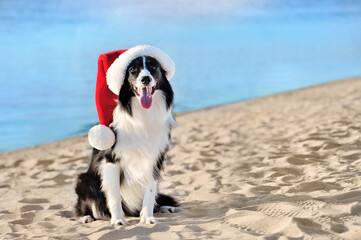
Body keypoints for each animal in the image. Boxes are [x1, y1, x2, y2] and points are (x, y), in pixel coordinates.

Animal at [75, 49, 176, 226]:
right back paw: (86, 217)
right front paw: (118, 220)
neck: (143, 116)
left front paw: (147, 217)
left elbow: (150, 191)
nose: (145, 79)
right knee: (87, 205)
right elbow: (114, 194)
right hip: (85, 180)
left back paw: (165, 207)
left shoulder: (155, 157)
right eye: (133, 69)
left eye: (153, 66)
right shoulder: (111, 159)